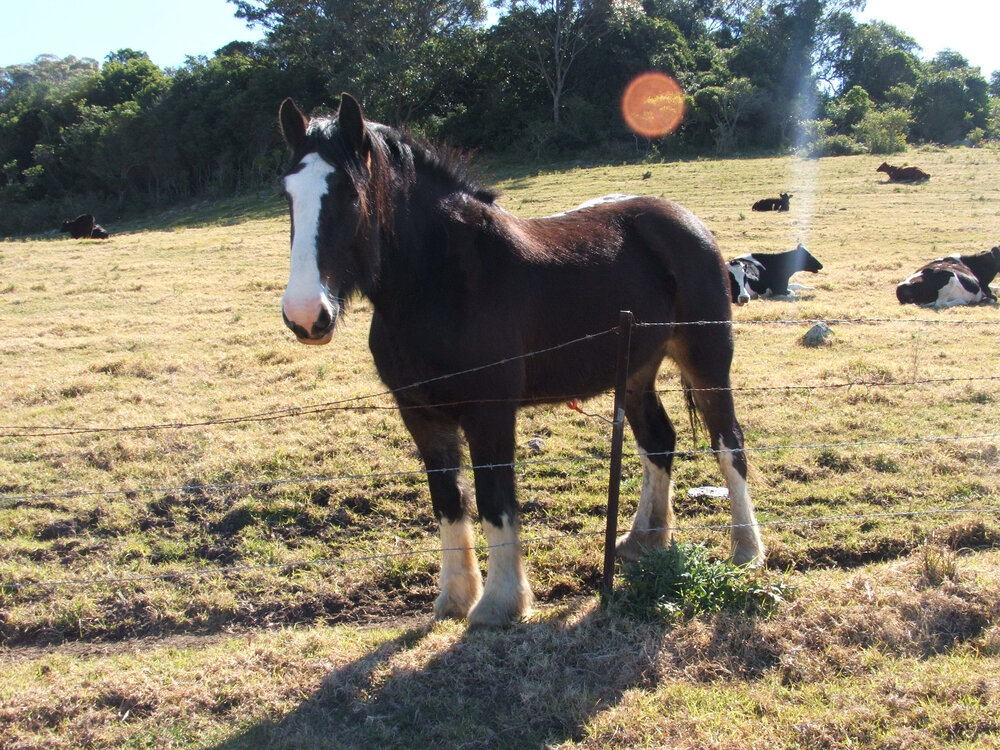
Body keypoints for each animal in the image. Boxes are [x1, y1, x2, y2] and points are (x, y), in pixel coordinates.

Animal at [276, 94, 766, 628]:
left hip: (706, 359)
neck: (442, 283)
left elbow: (495, 500)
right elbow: (448, 501)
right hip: (637, 369)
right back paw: (643, 541)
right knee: (658, 442)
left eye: (349, 192)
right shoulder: (421, 416)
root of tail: (689, 223)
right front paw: (455, 597)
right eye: (288, 194)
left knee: (728, 443)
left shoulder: (489, 412)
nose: (306, 315)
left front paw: (499, 602)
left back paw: (746, 550)